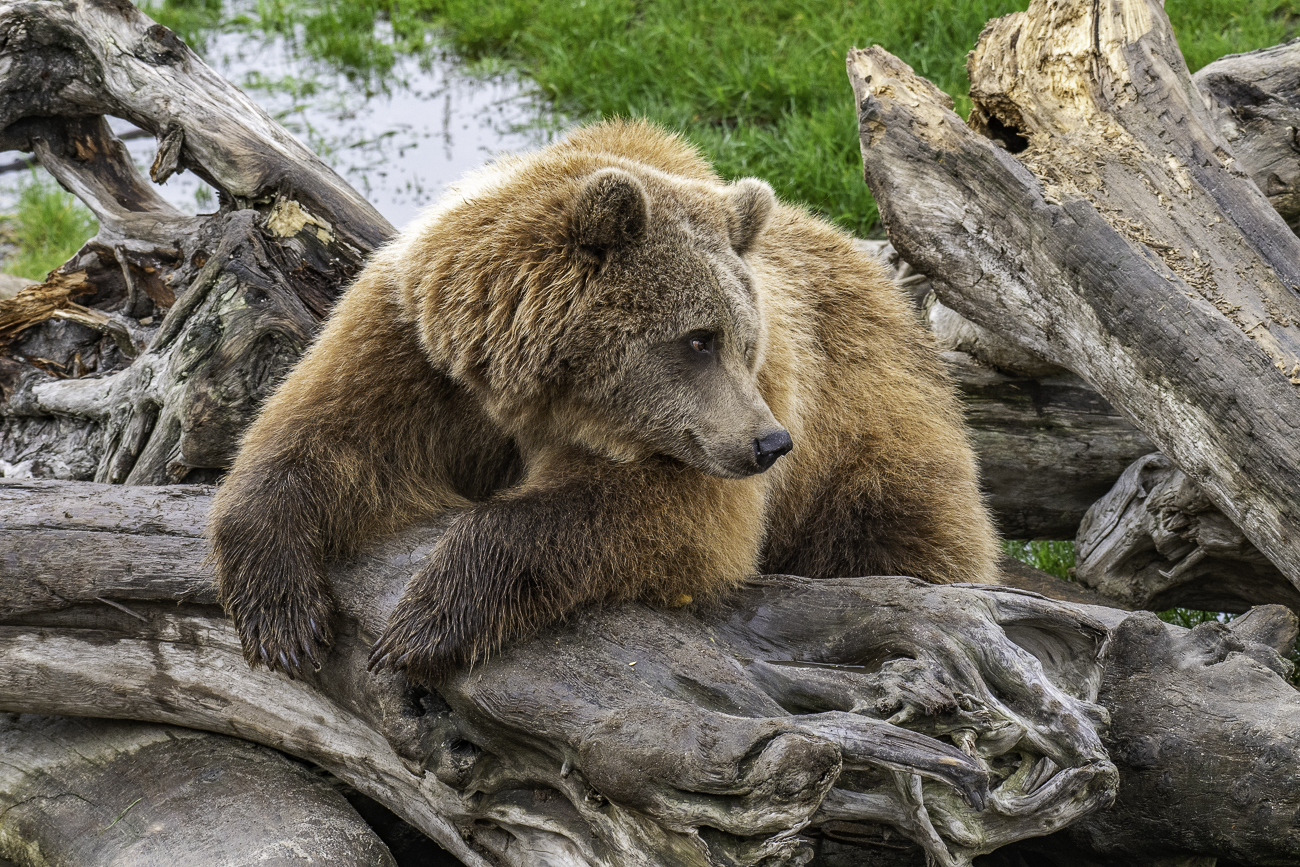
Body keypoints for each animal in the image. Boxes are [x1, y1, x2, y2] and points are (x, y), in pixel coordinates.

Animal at [208, 119, 1000, 685]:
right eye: (699, 339)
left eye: (746, 340)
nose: (769, 443)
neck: (537, 393)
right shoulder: (423, 349)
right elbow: (323, 438)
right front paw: (281, 614)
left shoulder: (706, 438)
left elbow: (666, 514)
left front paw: (425, 623)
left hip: (869, 451)